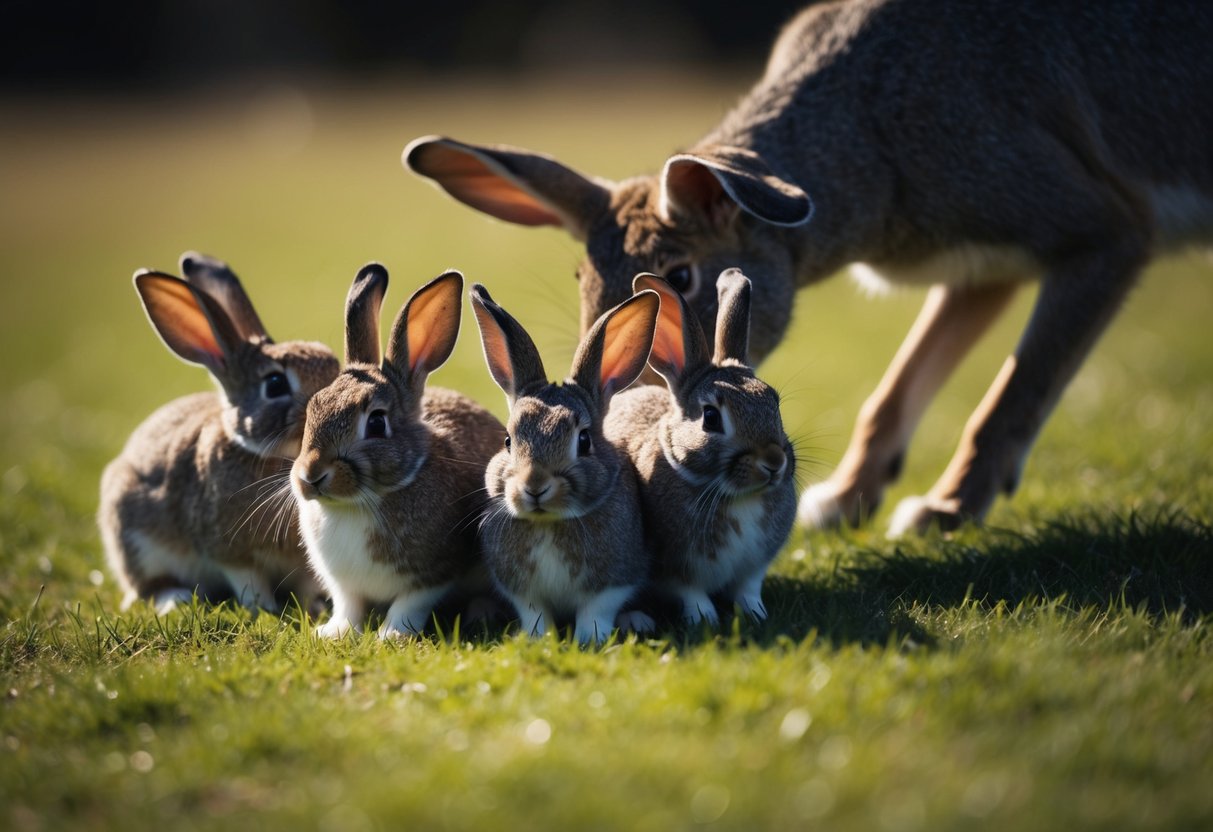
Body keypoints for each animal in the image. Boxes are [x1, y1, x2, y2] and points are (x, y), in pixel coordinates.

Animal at [98, 252, 340, 614]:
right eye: (275, 384)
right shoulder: (230, 552)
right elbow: (249, 583)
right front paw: (265, 610)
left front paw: (316, 607)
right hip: (134, 538)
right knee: (149, 586)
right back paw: (176, 599)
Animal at [291, 264, 504, 640]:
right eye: (314, 407)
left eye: (377, 423)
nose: (310, 476)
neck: (358, 503)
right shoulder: (343, 585)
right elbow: (348, 607)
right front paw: (332, 632)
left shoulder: (433, 574)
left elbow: (409, 604)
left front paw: (391, 635)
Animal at [405, 0, 1213, 536]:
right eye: (582, 282)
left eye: (679, 277)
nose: (623, 411)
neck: (872, 132)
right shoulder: (981, 269)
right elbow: (894, 391)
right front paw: (846, 502)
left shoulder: (1102, 234)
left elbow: (1017, 392)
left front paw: (942, 511)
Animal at [469, 282, 660, 645]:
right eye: (508, 441)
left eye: (583, 441)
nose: (535, 487)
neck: (549, 523)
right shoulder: (523, 591)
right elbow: (536, 614)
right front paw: (537, 640)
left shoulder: (614, 581)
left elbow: (595, 612)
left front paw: (590, 640)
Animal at [604, 269, 797, 626]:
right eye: (711, 418)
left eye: (774, 404)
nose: (774, 462)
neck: (737, 497)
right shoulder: (675, 569)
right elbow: (691, 593)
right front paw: (704, 619)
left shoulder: (754, 567)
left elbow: (748, 589)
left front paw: (756, 613)